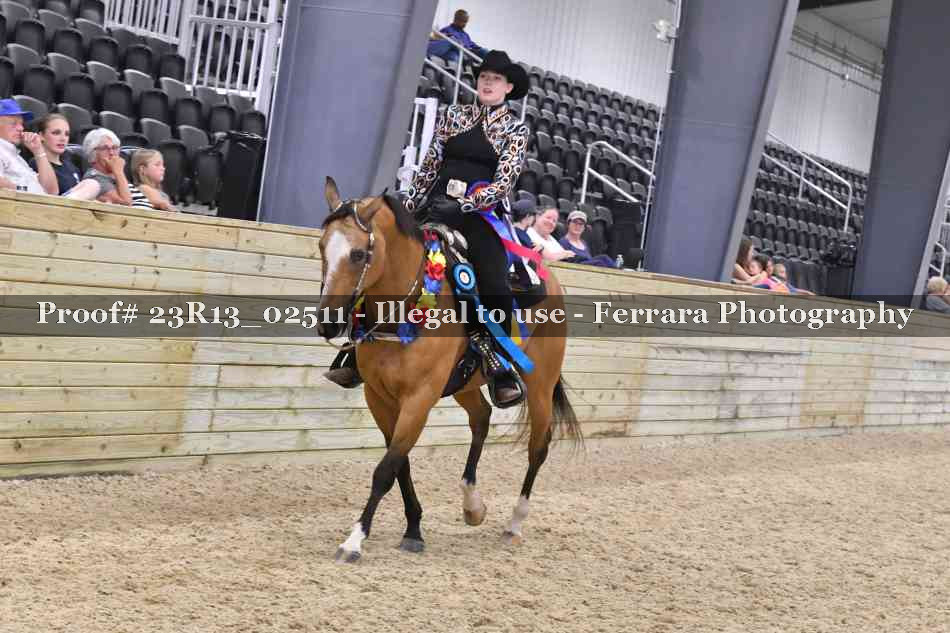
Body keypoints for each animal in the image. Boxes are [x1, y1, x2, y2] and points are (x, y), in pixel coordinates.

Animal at [317, 177, 581, 563]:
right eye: (322, 246)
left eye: (359, 254)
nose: (328, 323)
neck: (405, 309)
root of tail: (549, 277)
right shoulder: (378, 396)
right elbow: (400, 463)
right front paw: (414, 529)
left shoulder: (419, 398)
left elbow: (386, 470)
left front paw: (354, 540)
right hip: (465, 383)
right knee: (481, 417)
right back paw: (472, 505)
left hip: (541, 383)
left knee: (538, 447)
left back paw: (514, 524)